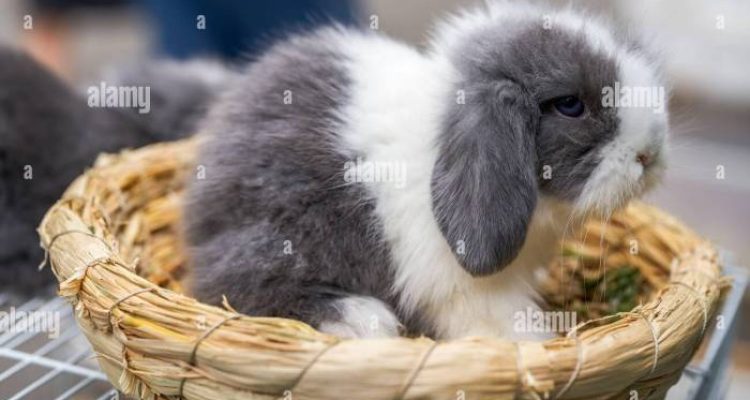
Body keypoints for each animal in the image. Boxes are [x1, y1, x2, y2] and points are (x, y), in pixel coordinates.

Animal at [186, 1, 668, 340]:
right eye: (570, 105)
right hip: (279, 233)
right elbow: (503, 323)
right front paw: (536, 346)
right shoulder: (469, 290)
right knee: (233, 283)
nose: (650, 154)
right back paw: (361, 320)